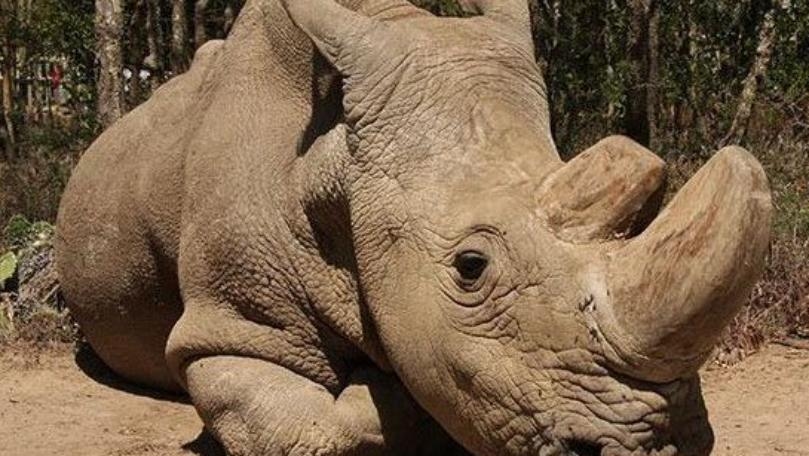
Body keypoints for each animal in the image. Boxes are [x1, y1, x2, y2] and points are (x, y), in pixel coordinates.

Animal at [55, 0, 772, 455]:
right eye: (470, 267)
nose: (663, 445)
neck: (336, 168)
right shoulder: (230, 325)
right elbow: (306, 428)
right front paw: (375, 390)